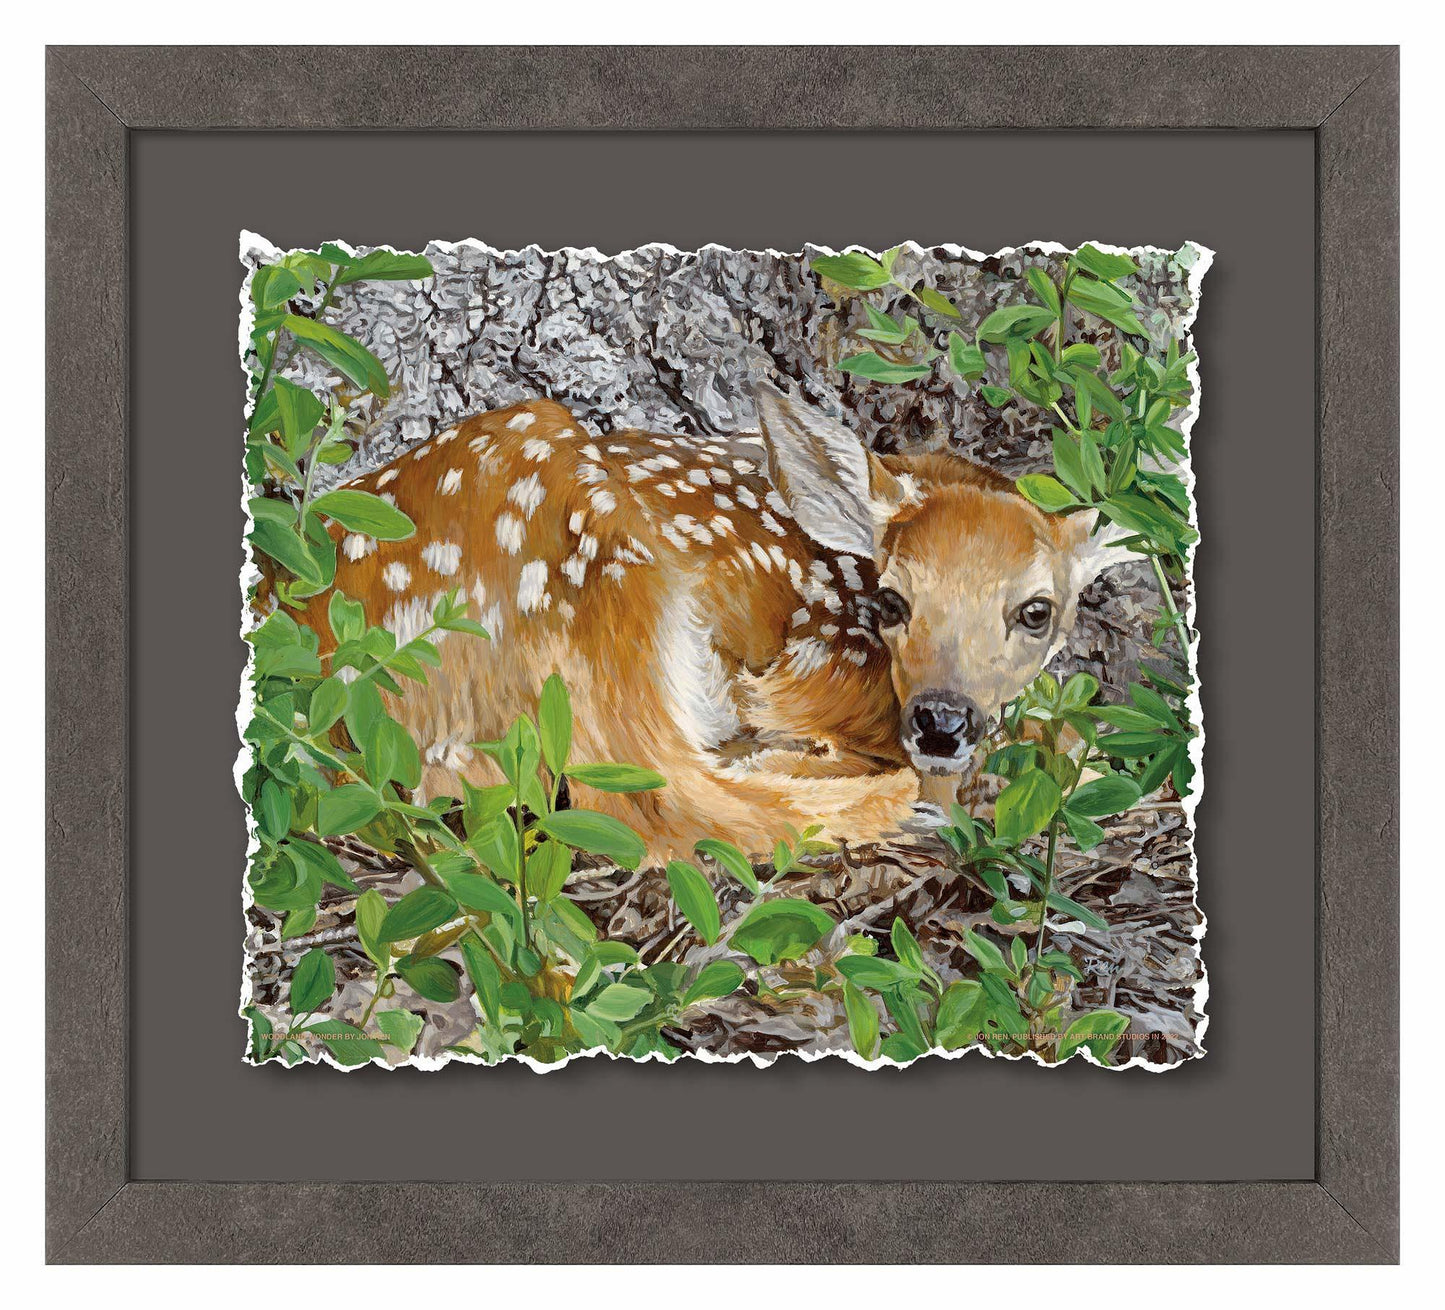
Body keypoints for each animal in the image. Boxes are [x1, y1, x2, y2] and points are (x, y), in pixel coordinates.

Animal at [288, 383, 1135, 863]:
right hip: (592, 569)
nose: (941, 720)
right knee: (661, 804)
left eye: (1035, 611)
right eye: (894, 601)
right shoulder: (806, 662)